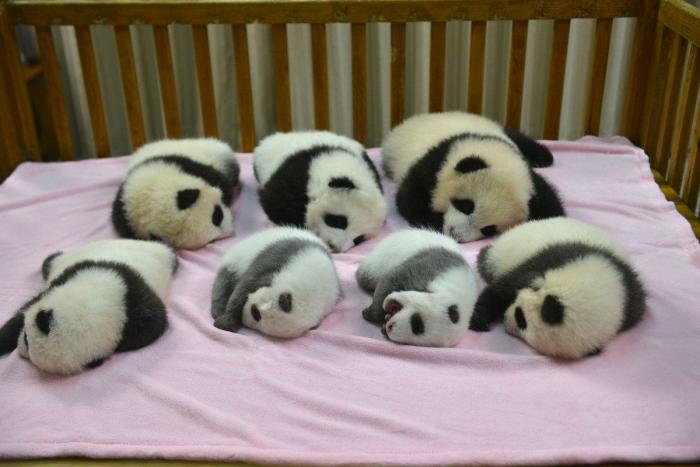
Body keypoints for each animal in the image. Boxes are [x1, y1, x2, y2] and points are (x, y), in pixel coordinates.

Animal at [0, 239, 177, 375]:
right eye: (25, 337)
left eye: (27, 342)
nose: (21, 351)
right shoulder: (69, 275)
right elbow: (24, 311)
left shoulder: (138, 306)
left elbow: (155, 323)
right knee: (50, 260)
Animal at [112, 138, 240, 249]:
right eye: (212, 240)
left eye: (217, 215)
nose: (230, 232)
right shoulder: (126, 218)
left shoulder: (184, 165)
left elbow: (222, 183)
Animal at [211, 226, 341, 338]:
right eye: (255, 312)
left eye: (256, 316)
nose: (245, 321)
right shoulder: (282, 256)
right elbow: (245, 285)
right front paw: (226, 322)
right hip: (236, 259)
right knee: (224, 283)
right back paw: (218, 310)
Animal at [382, 111, 565, 242]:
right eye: (466, 205)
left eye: (489, 229)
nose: (455, 234)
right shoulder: (438, 161)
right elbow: (410, 195)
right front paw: (435, 221)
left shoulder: (527, 177)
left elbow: (548, 204)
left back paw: (543, 156)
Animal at [470, 217, 646, 359]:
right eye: (520, 315)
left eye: (522, 322)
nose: (506, 321)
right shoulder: (552, 258)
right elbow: (502, 289)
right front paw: (478, 320)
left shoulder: (630, 300)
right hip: (503, 251)